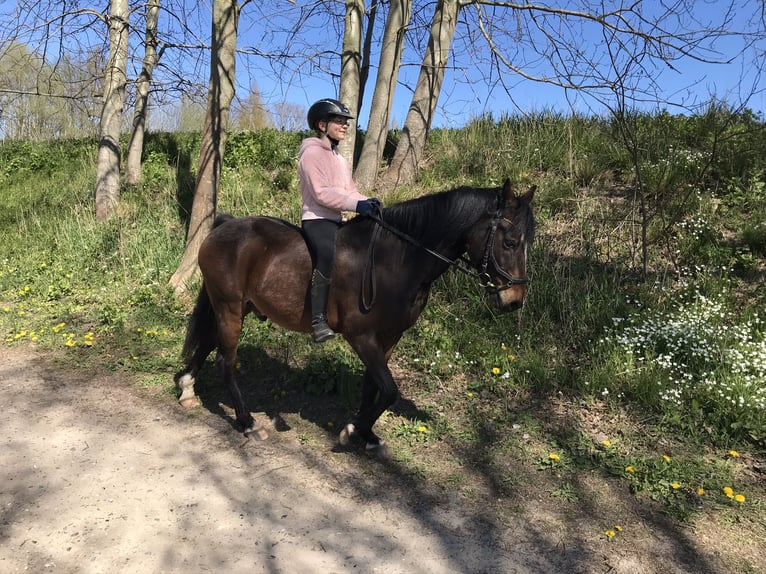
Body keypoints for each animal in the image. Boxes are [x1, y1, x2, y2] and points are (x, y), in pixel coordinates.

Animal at [178, 180, 540, 454]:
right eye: (510, 242)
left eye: (528, 243)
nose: (515, 301)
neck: (396, 261)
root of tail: (225, 225)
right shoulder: (361, 336)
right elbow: (390, 390)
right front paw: (352, 431)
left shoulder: (388, 337)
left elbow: (373, 387)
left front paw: (366, 434)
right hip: (229, 308)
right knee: (226, 361)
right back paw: (247, 422)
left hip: (235, 307)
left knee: (208, 343)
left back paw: (187, 389)